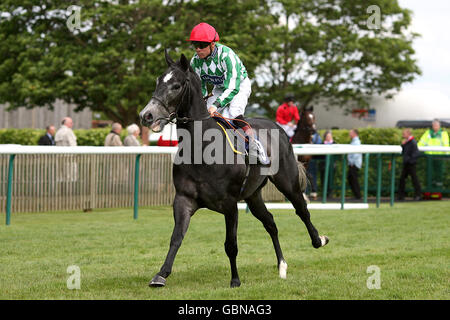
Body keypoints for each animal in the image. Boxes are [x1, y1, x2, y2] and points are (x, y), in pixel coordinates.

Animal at [139, 51, 328, 288]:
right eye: (158, 81)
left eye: (176, 85)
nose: (146, 115)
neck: (202, 148)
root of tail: (278, 128)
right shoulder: (183, 198)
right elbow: (176, 237)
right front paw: (161, 274)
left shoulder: (229, 204)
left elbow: (231, 244)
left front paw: (235, 280)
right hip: (253, 195)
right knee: (270, 222)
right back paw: (282, 265)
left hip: (288, 182)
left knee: (301, 209)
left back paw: (318, 239)